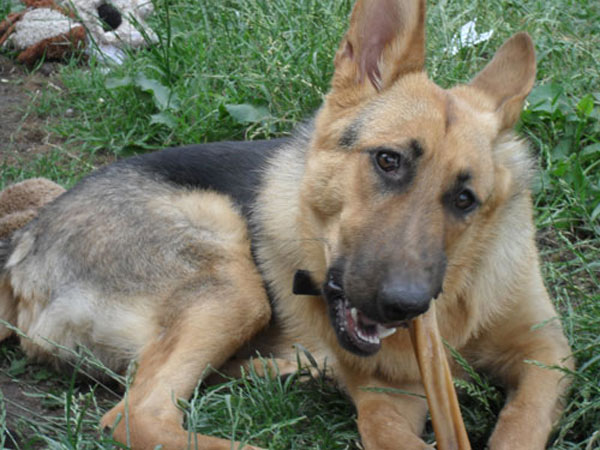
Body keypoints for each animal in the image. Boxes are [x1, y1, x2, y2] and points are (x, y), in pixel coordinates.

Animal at [0, 0, 572, 448]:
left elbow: (521, 426)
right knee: (137, 415)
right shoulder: (387, 395)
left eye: (464, 199)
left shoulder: (547, 357)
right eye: (387, 161)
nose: (404, 305)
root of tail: (23, 245)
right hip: (231, 274)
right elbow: (389, 433)